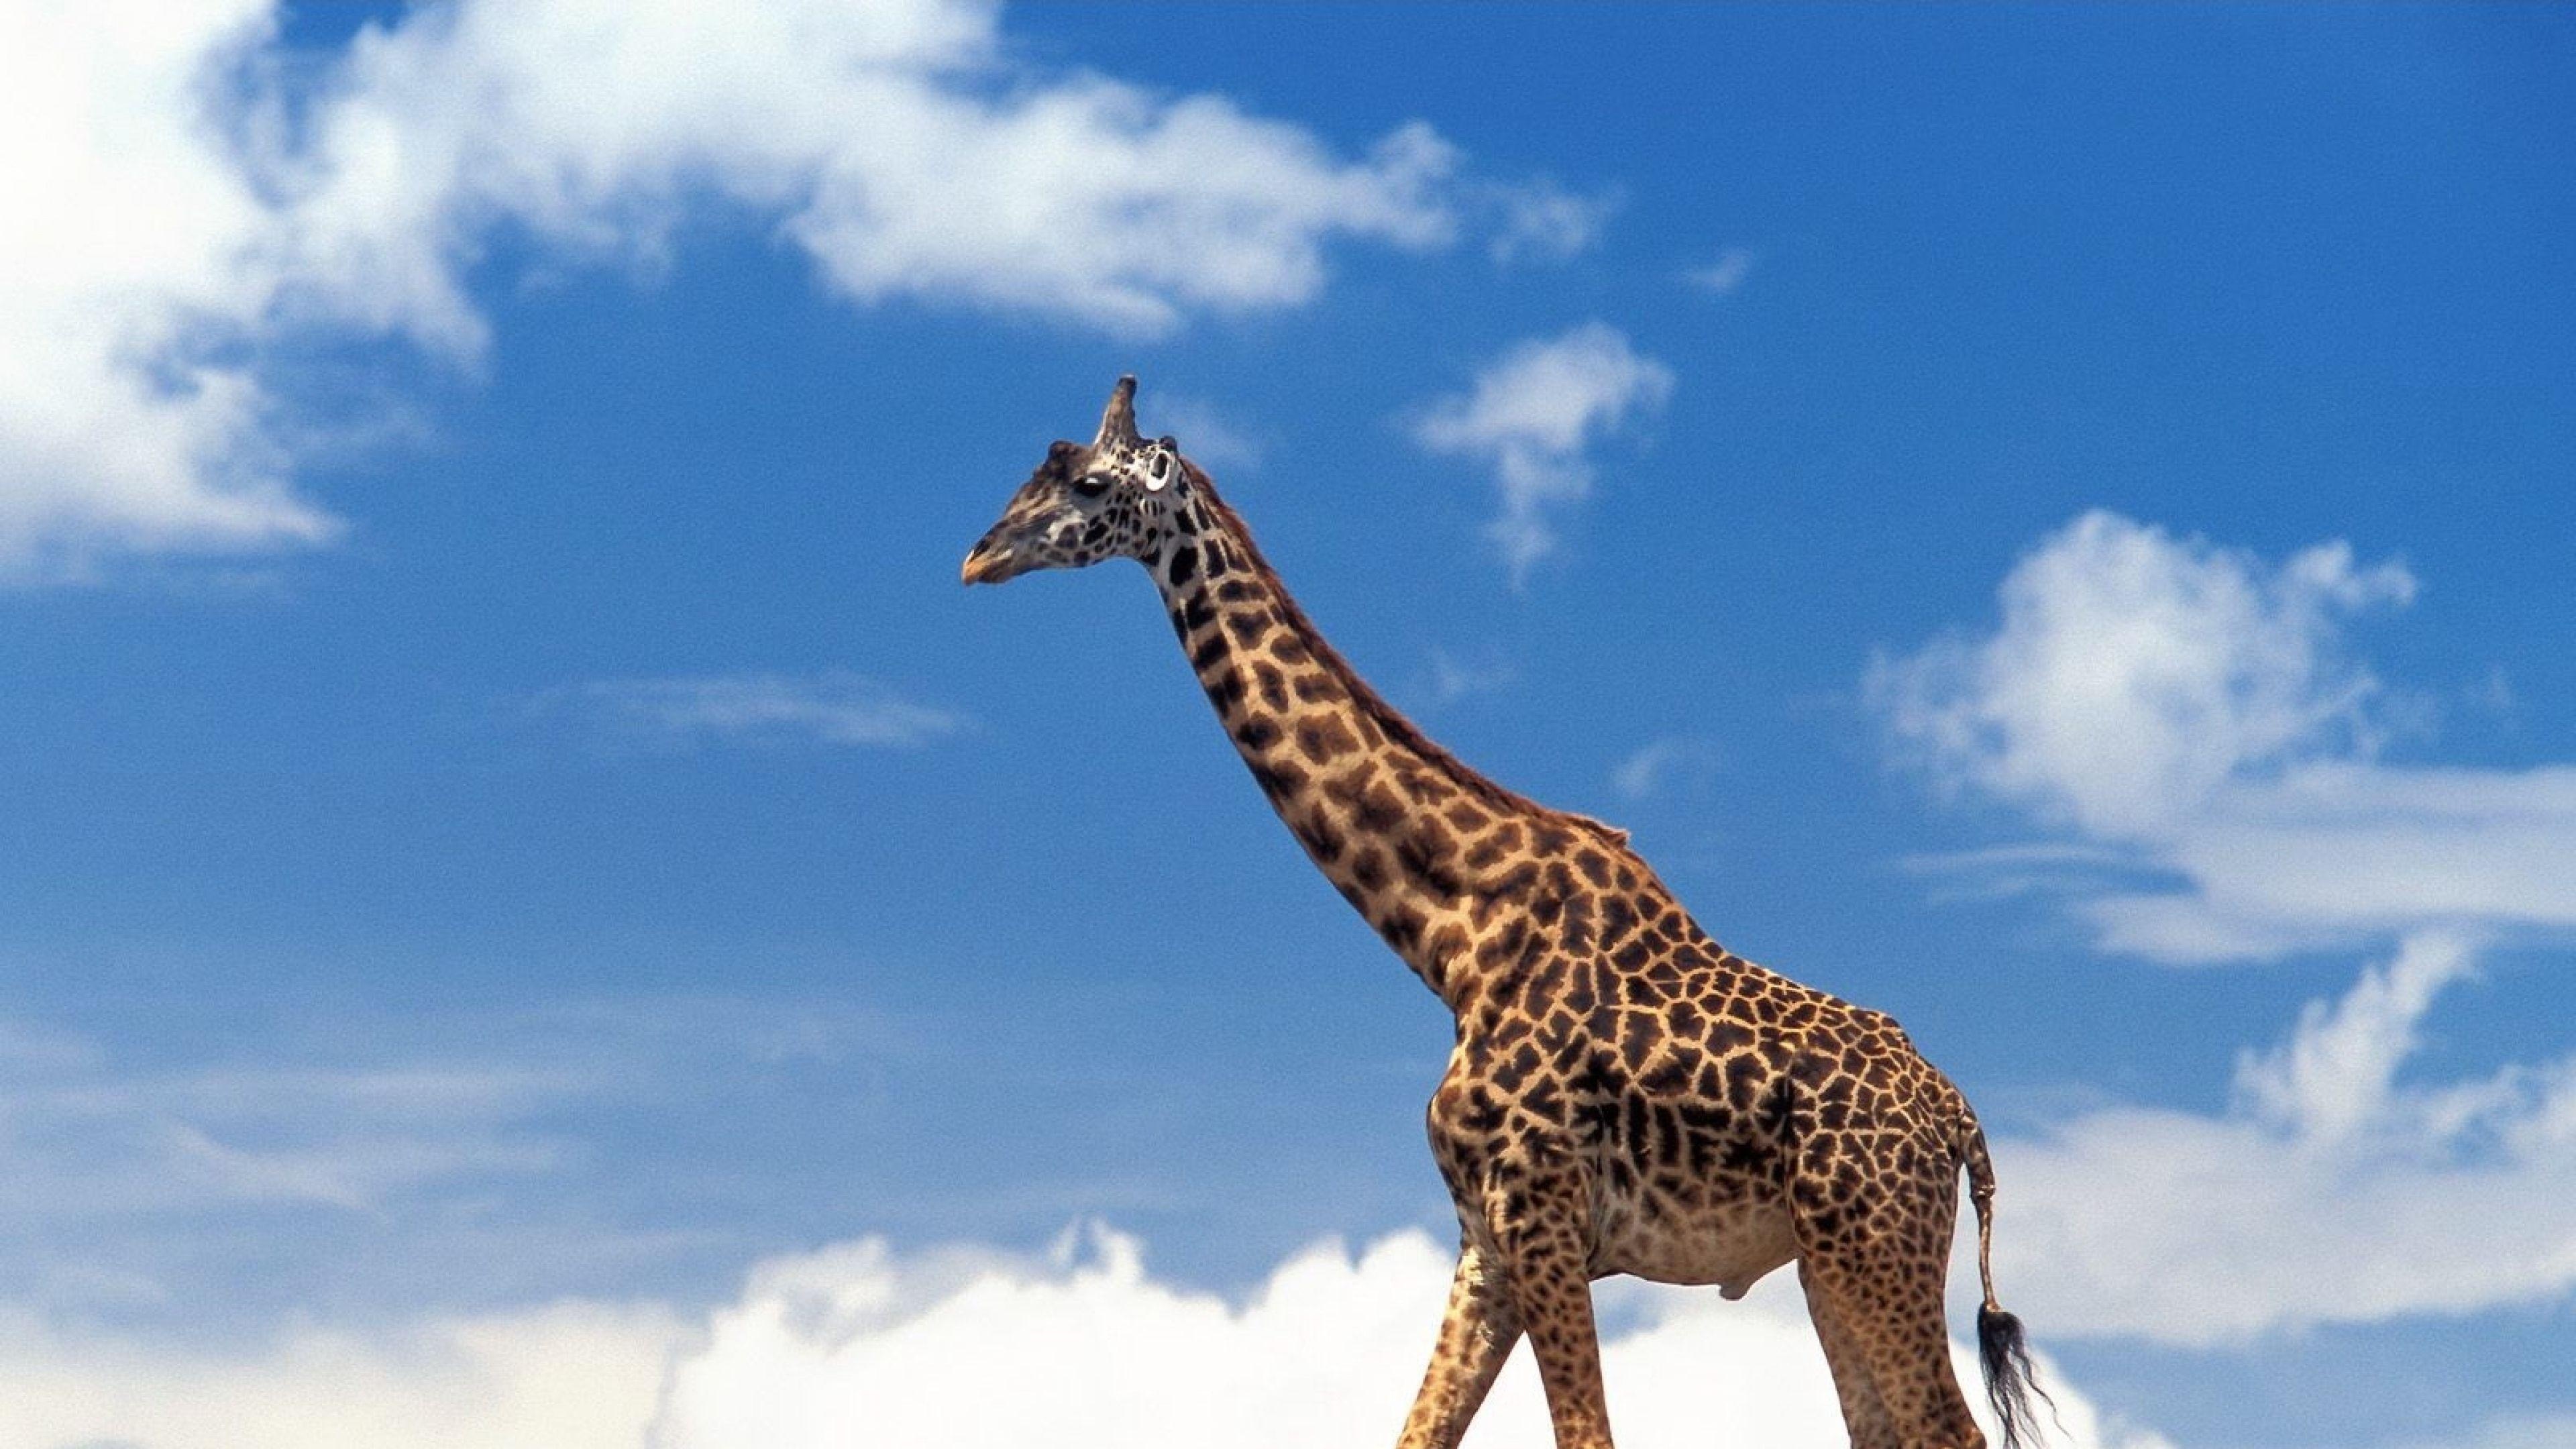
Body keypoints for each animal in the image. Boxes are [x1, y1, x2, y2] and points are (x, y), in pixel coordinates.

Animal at [962, 378, 2052, 1449]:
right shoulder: (1485, 1241)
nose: (980, 556)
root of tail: (1960, 1122)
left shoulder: (1543, 1213)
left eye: (1091, 482)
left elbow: (1588, 1436)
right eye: (1039, 466)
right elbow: (1415, 1435)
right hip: (1832, 1266)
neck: (1449, 936)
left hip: (1874, 1246)